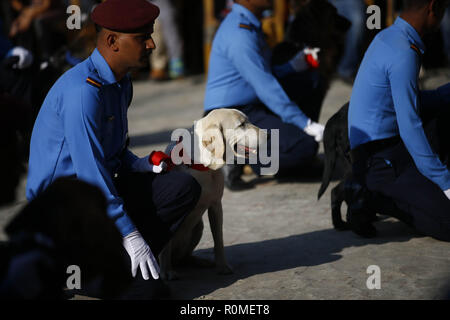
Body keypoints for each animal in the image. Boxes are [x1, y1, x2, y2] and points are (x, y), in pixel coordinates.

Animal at [158, 108, 264, 280]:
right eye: (241, 125)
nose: (268, 135)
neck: (202, 167)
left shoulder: (216, 205)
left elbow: (218, 240)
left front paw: (222, 266)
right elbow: (165, 248)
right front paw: (166, 271)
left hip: (198, 227)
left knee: (184, 258)